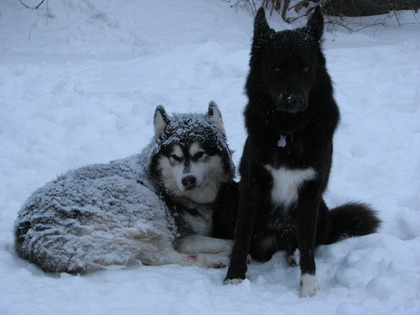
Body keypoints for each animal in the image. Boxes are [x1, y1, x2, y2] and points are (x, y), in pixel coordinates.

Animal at [15, 103, 236, 274]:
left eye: (199, 154)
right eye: (175, 157)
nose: (188, 180)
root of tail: (29, 233)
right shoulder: (182, 237)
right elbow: (215, 242)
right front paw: (229, 247)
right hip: (140, 196)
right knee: (163, 256)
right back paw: (215, 260)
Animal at [223, 7, 380, 298]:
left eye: (306, 67)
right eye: (277, 68)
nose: (295, 99)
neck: (288, 131)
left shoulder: (310, 193)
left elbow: (307, 247)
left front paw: (309, 287)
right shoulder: (251, 186)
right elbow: (241, 236)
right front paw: (234, 278)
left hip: (323, 211)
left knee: (299, 244)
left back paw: (291, 257)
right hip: (231, 195)